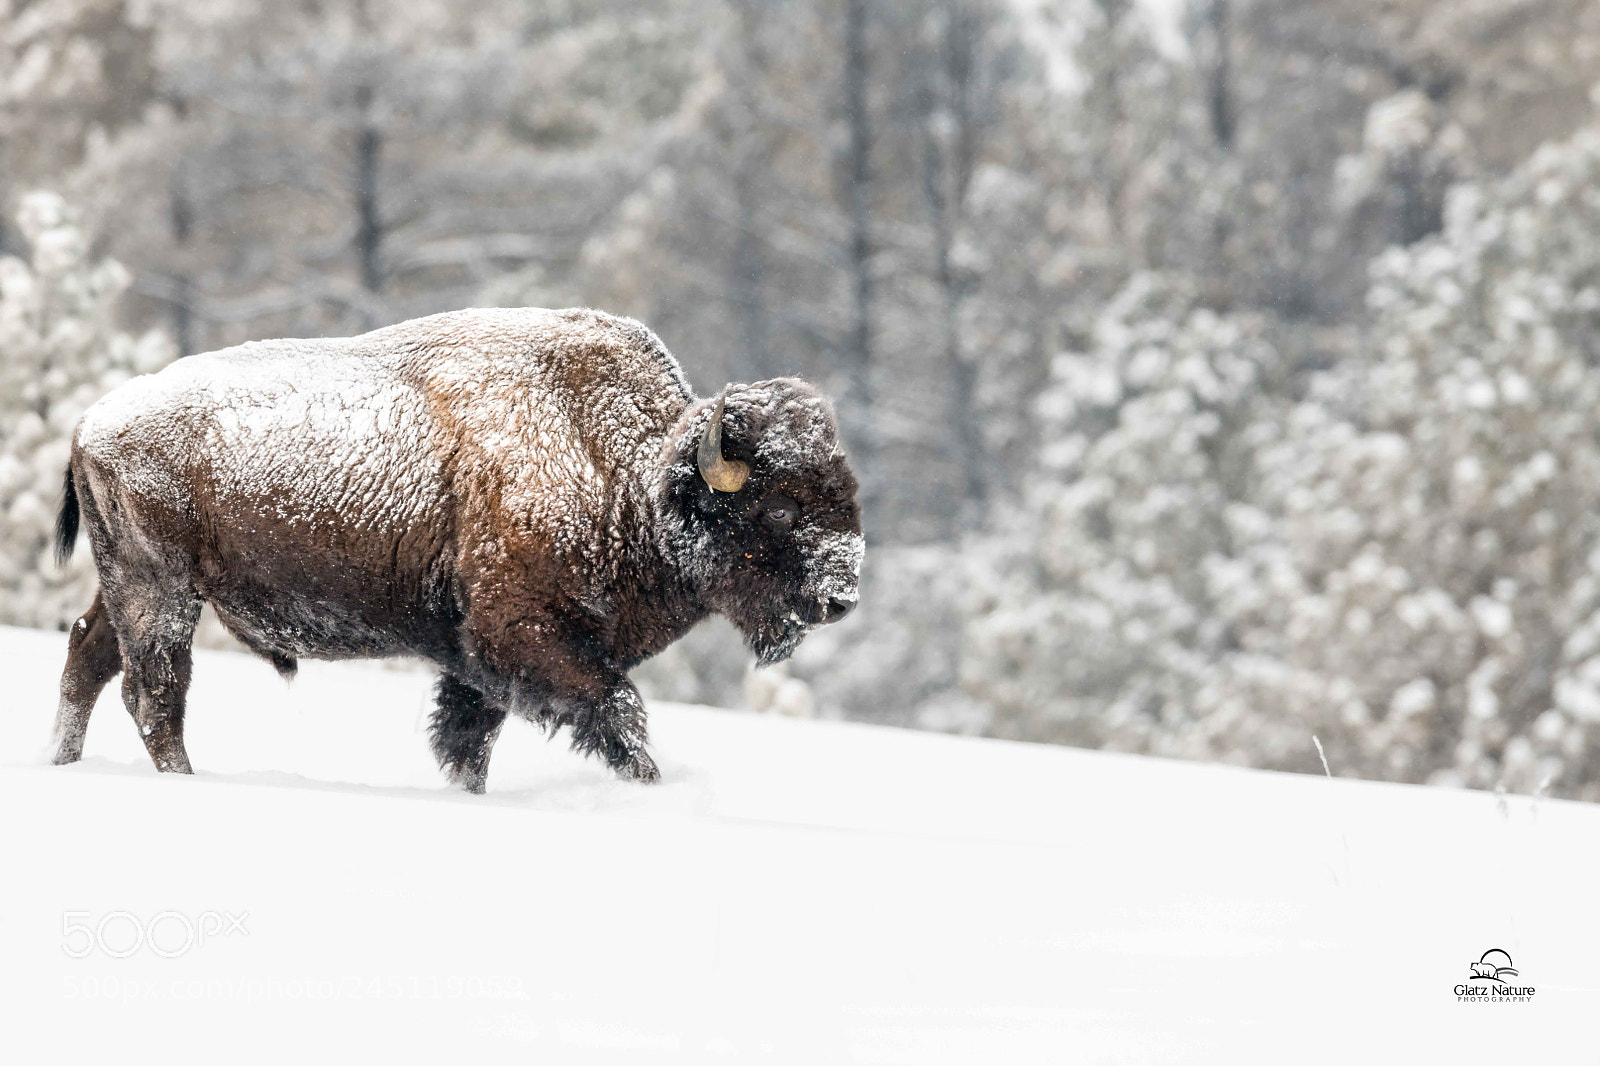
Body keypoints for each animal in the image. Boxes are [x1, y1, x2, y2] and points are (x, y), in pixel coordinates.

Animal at [49, 307, 863, 791]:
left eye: (845, 491)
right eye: (781, 507)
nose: (841, 596)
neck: (630, 472)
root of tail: (92, 418)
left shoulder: (480, 663)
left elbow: (470, 740)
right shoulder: (524, 636)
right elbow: (617, 712)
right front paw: (647, 785)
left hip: (131, 587)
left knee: (90, 655)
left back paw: (62, 763)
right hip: (160, 592)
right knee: (155, 692)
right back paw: (179, 779)